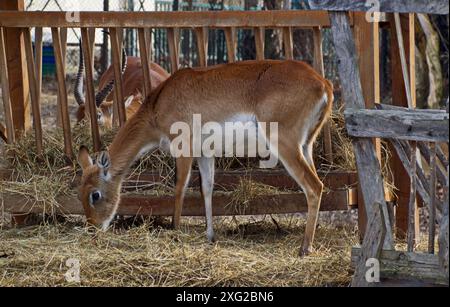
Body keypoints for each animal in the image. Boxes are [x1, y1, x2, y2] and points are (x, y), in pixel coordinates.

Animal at [77, 59, 332, 256]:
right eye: (79, 193)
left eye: (95, 195)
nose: (93, 230)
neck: (158, 104)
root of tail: (323, 84)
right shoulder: (204, 153)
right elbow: (206, 189)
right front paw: (210, 236)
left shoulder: (184, 148)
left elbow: (179, 188)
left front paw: (175, 232)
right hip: (305, 146)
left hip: (286, 145)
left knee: (314, 186)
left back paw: (304, 248)